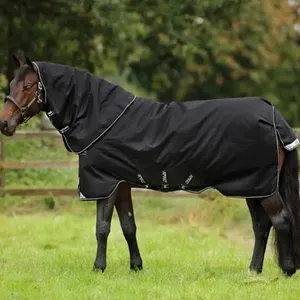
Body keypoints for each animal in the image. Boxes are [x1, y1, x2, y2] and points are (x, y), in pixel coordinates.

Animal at [1, 54, 298, 276]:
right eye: (12, 83)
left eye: (28, 86)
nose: (4, 124)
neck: (101, 117)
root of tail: (273, 115)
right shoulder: (122, 184)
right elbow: (128, 226)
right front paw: (136, 267)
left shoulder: (105, 183)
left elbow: (102, 227)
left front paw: (98, 268)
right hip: (253, 187)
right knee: (261, 226)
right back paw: (254, 270)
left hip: (262, 187)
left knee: (281, 220)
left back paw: (287, 270)